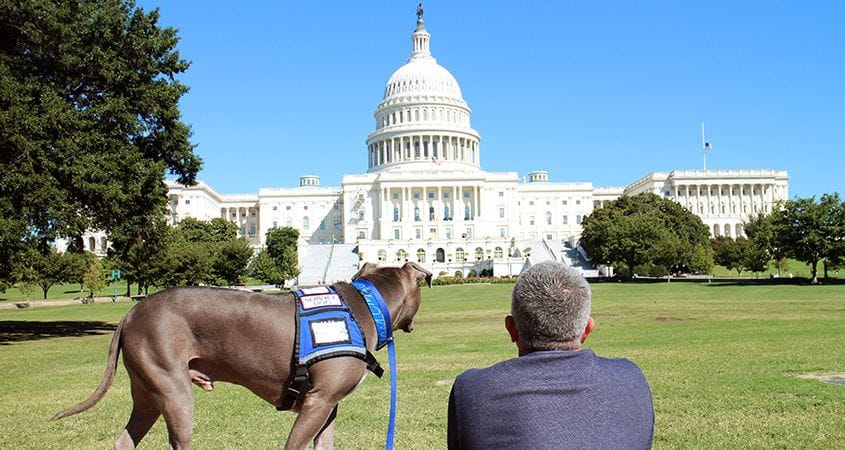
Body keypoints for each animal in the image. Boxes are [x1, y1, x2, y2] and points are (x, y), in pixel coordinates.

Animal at [52, 262, 432, 448]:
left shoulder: (329, 406)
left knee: (125, 439)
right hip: (174, 391)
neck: (368, 304)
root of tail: (130, 314)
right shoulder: (317, 402)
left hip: (148, 392)